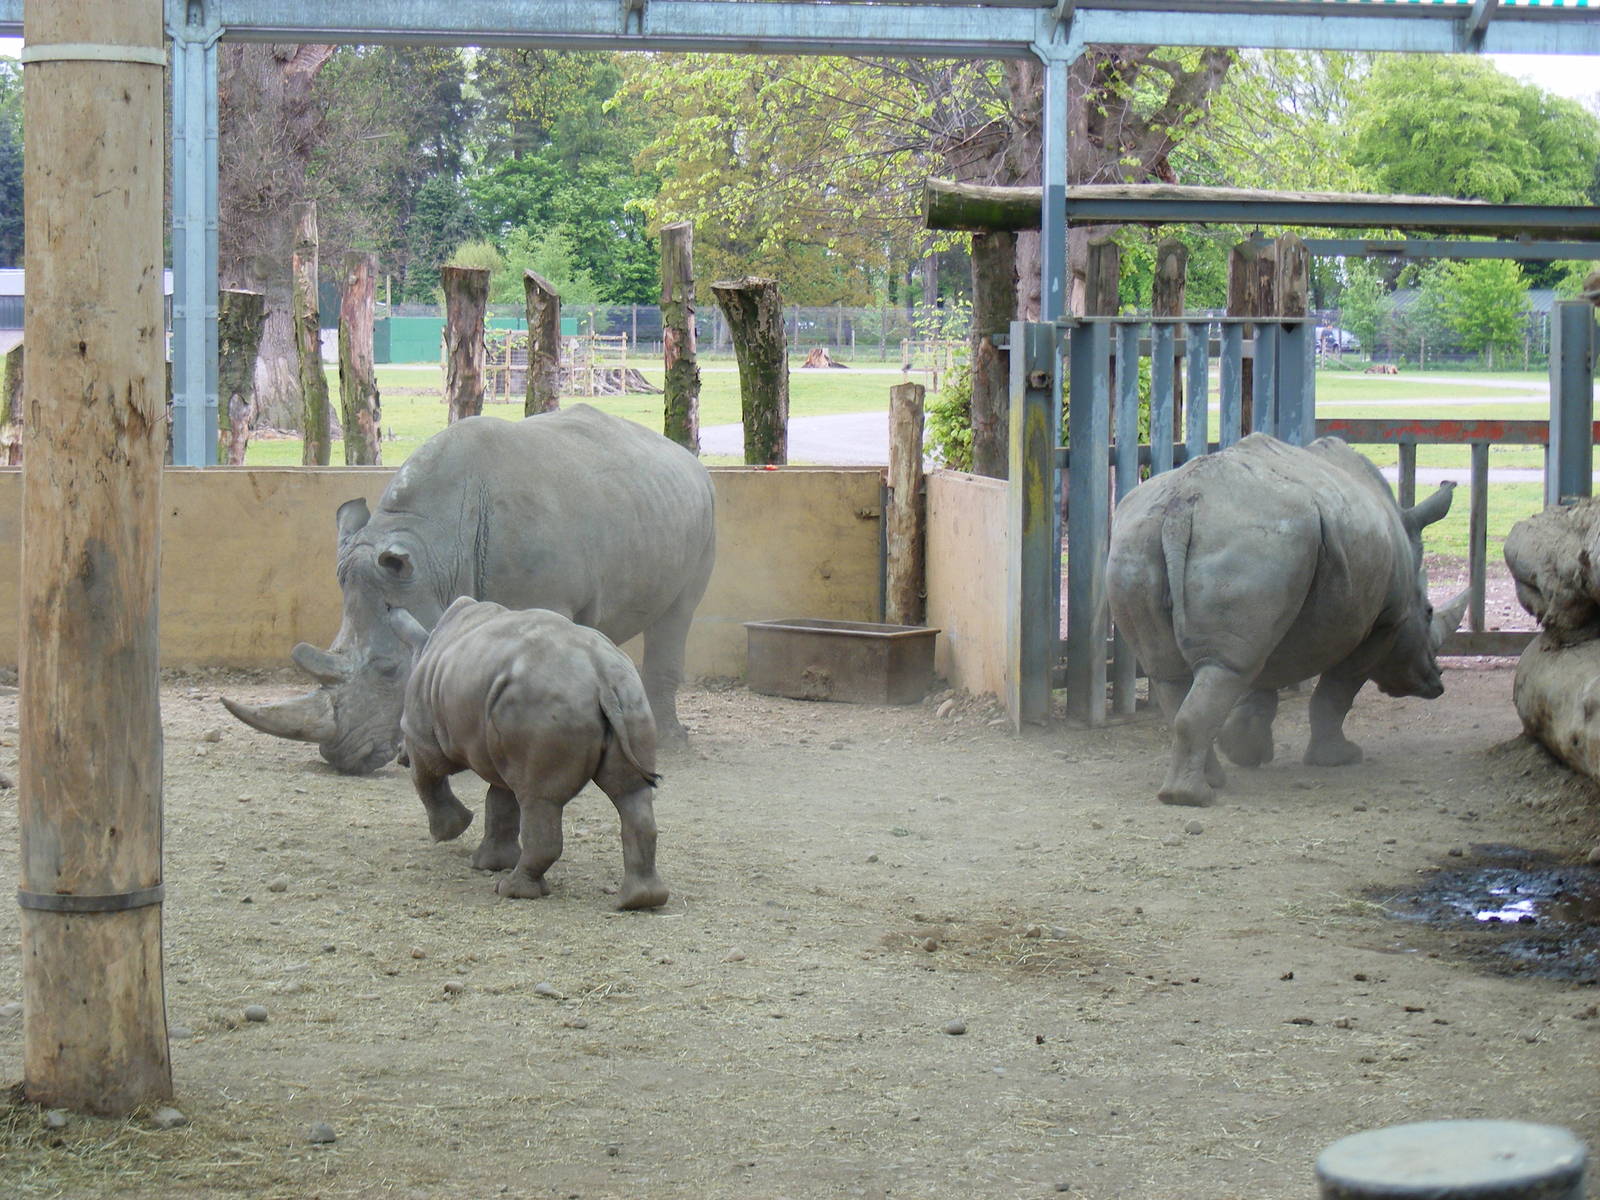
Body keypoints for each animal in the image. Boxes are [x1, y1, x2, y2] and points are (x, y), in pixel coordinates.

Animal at [224, 405, 717, 774]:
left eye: (387, 670)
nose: (341, 758)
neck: (433, 550)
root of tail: (686, 456)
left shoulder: (545, 598)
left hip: (706, 507)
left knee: (679, 614)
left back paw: (671, 745)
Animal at [392, 598, 668, 909]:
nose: (399, 754)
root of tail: (602, 677)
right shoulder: (502, 743)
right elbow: (501, 803)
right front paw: (490, 863)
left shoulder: (421, 732)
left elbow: (427, 778)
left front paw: (448, 833)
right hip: (627, 696)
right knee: (630, 793)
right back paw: (638, 901)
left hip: (544, 705)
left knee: (539, 799)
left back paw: (511, 890)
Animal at [1106, 434, 1469, 807]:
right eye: (1429, 613)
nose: (1436, 684)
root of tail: (1181, 506)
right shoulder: (1385, 621)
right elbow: (1338, 689)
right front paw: (1339, 758)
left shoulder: (1278, 606)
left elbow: (1262, 680)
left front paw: (1245, 749)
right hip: (1251, 541)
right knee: (1226, 669)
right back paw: (1192, 797)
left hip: (1142, 543)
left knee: (1175, 672)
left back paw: (1207, 783)